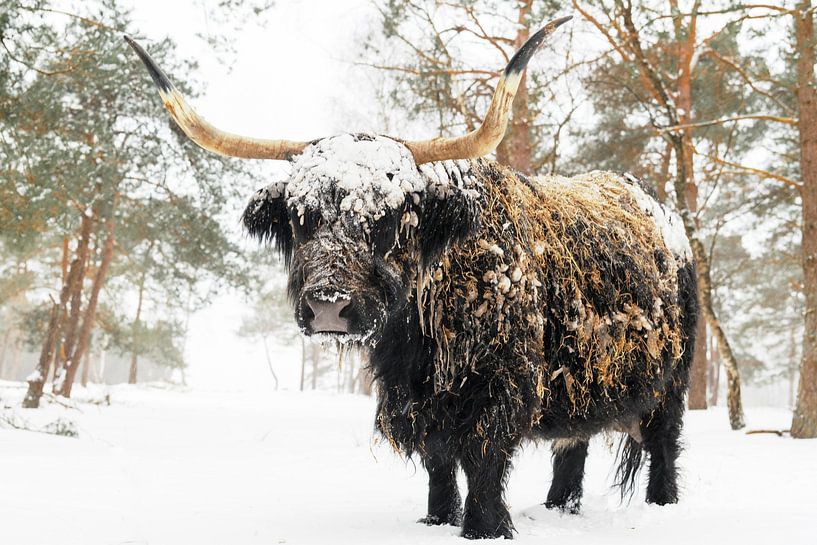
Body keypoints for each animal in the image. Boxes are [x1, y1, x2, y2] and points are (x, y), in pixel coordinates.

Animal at [126, 18, 696, 540]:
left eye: (391, 216)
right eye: (300, 216)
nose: (329, 306)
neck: (420, 333)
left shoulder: (499, 395)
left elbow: (484, 469)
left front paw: (484, 528)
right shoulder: (413, 401)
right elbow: (439, 467)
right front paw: (437, 520)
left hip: (673, 381)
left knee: (663, 445)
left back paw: (663, 507)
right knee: (571, 449)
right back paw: (558, 509)